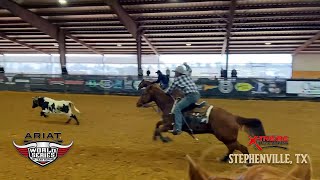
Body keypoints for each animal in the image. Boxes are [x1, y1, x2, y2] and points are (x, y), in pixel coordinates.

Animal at [136, 84, 266, 162]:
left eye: (144, 93)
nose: (137, 103)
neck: (169, 105)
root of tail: (233, 117)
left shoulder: (169, 125)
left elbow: (159, 129)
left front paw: (165, 139)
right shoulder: (166, 122)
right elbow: (157, 125)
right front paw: (155, 137)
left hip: (226, 137)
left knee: (240, 148)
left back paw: (247, 163)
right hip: (227, 138)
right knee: (233, 148)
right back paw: (224, 159)